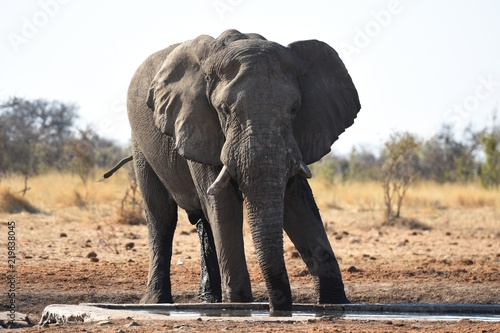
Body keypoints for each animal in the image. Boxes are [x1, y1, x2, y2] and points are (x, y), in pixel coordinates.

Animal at [125, 27, 360, 312]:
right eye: (225, 110)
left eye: (294, 109)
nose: (276, 308)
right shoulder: (198, 125)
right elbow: (224, 205)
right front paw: (238, 305)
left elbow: (298, 202)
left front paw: (336, 303)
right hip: (140, 144)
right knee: (161, 217)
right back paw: (157, 302)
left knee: (203, 223)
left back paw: (209, 301)